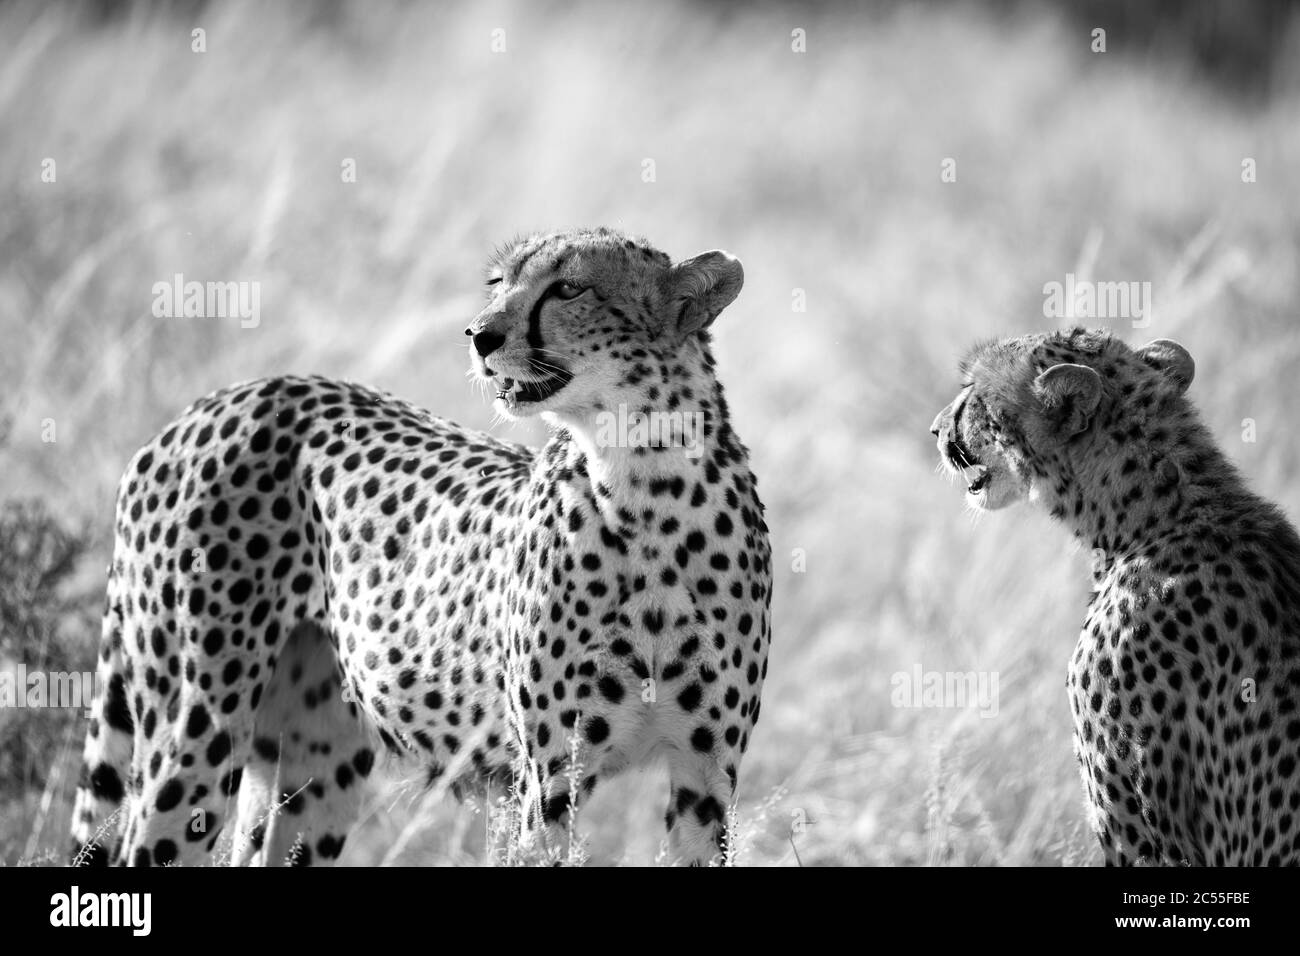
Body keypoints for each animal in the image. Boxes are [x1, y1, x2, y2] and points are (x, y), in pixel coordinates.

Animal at [68, 230, 769, 868]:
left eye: (569, 288)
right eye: (498, 283)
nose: (479, 336)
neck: (647, 486)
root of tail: (215, 403)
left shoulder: (706, 775)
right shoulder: (549, 778)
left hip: (316, 756)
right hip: (197, 727)